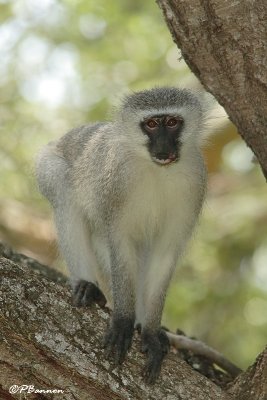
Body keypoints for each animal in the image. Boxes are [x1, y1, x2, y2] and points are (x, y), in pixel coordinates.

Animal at [35, 88, 207, 384]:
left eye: (173, 122)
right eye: (152, 124)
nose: (164, 148)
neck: (157, 171)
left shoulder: (195, 182)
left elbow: (163, 254)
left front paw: (150, 332)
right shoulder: (115, 181)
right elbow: (120, 242)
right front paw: (124, 320)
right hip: (48, 163)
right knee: (64, 189)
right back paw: (87, 286)